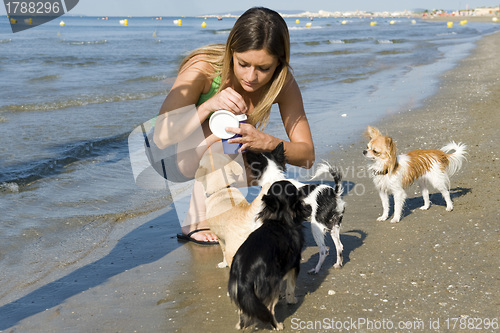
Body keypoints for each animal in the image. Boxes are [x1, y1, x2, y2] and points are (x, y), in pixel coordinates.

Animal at [229, 180, 310, 328]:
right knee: (269, 310)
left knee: (243, 310)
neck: (280, 219)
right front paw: (292, 300)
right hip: (273, 285)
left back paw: (240, 325)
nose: (302, 190)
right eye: (295, 191)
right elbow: (291, 287)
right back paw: (277, 325)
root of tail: (244, 276)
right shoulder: (294, 264)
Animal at [245, 144, 344, 274]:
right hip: (334, 225)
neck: (274, 178)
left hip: (316, 226)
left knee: (324, 250)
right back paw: (338, 264)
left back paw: (316, 269)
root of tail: (335, 194)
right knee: (339, 246)